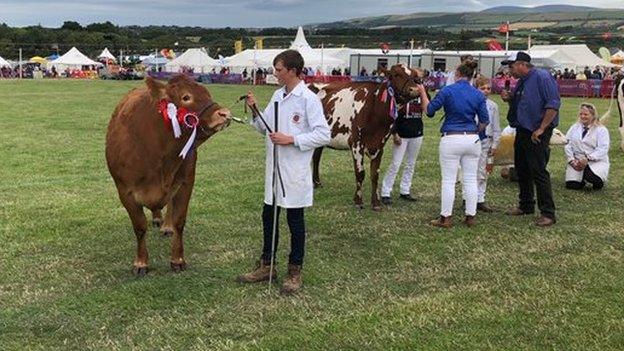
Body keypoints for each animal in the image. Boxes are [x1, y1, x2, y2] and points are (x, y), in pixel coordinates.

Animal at [105, 75, 232, 276]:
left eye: (207, 93)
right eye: (186, 97)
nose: (225, 113)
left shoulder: (186, 182)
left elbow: (179, 221)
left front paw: (177, 259)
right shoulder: (125, 190)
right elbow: (139, 226)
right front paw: (141, 263)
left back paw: (166, 226)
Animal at [308, 64, 422, 210]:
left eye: (414, 76)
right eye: (396, 74)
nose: (415, 90)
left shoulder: (380, 145)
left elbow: (375, 174)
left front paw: (376, 203)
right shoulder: (357, 143)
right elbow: (360, 173)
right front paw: (358, 201)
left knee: (316, 157)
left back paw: (317, 182)